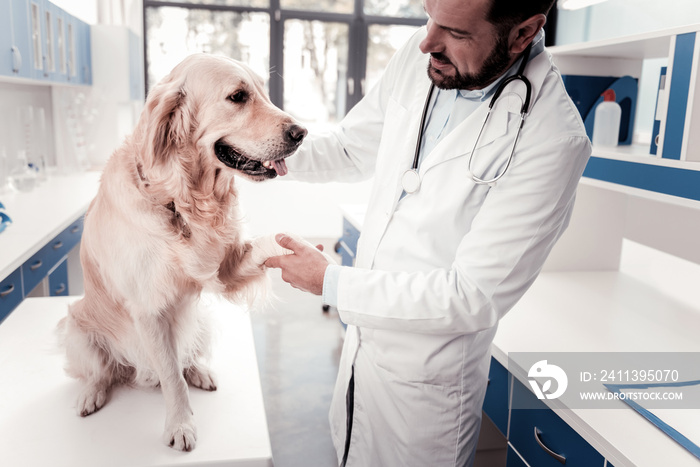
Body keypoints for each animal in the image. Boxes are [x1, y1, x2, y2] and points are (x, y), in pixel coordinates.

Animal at [56, 54, 304, 454]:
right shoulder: (149, 309)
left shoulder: (226, 268)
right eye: (238, 96)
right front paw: (181, 425)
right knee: (103, 372)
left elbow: (263, 245)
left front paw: (298, 246)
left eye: (264, 93)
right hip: (78, 329)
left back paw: (200, 372)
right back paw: (91, 394)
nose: (301, 133)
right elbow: (171, 378)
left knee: (186, 357)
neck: (182, 199)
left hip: (201, 320)